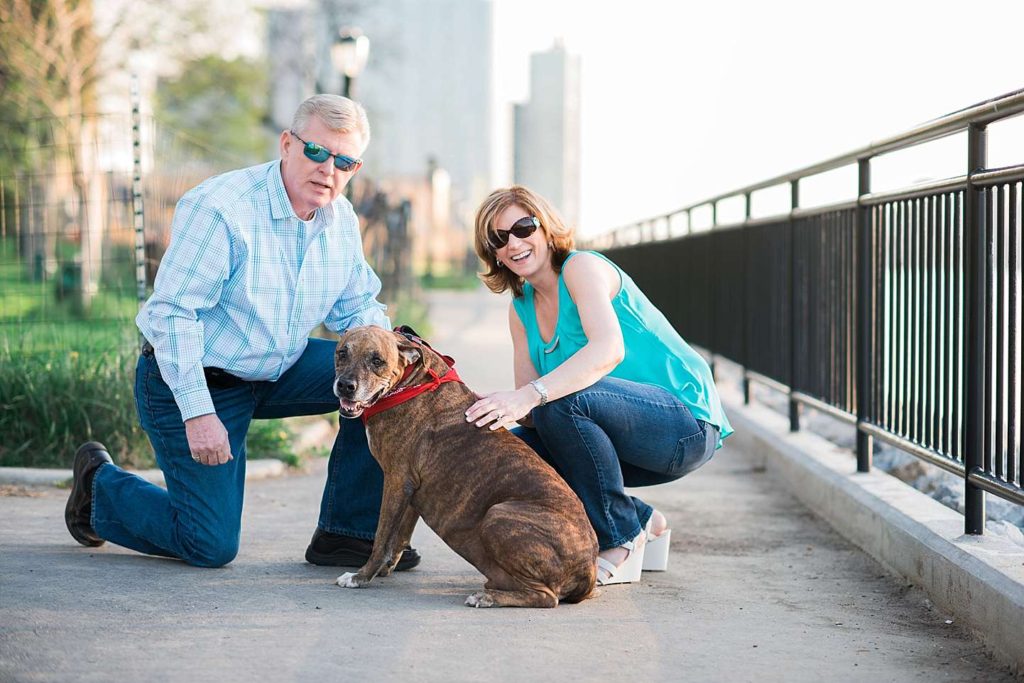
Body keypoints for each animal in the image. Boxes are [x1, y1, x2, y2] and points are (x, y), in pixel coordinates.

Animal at [331, 325, 598, 610]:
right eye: (342, 353)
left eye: (377, 361)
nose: (345, 386)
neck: (410, 381)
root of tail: (589, 567)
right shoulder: (411, 489)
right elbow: (399, 535)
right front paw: (385, 567)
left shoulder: (396, 481)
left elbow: (382, 537)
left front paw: (361, 577)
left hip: (498, 515)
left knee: (546, 597)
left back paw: (488, 597)